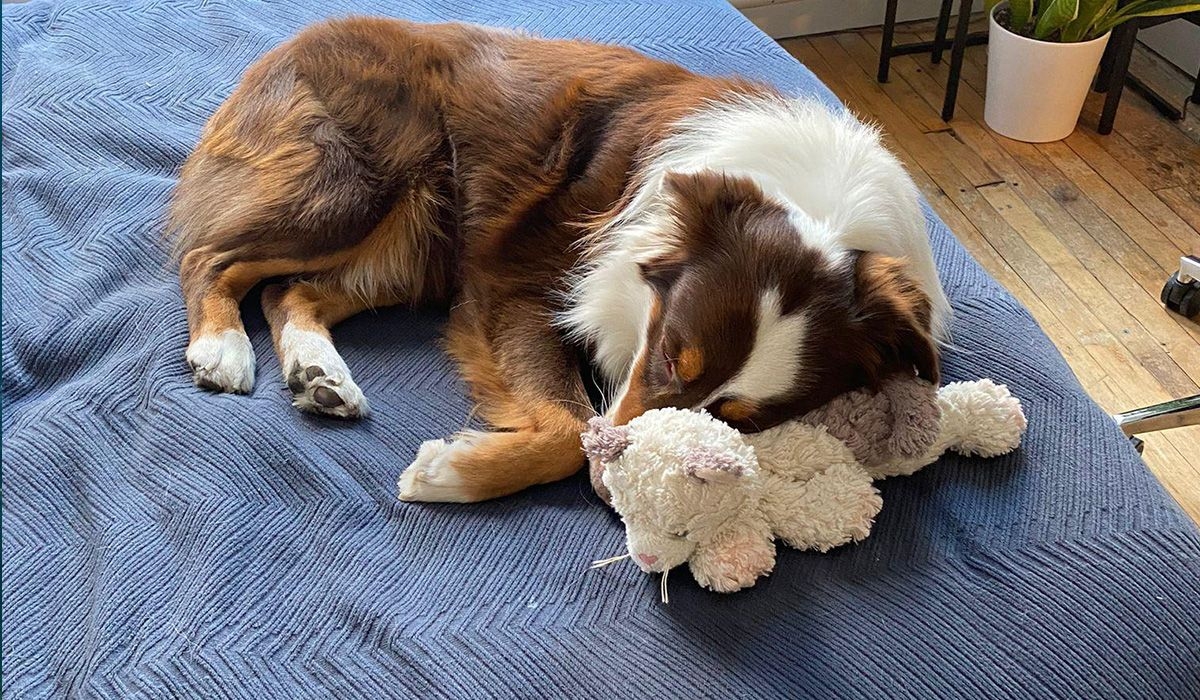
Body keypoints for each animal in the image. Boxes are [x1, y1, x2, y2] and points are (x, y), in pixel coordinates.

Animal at [171, 17, 945, 504]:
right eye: (671, 356)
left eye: (744, 420)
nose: (619, 490)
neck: (810, 200)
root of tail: (292, 43)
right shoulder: (516, 285)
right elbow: (572, 429)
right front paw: (447, 473)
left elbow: (577, 427)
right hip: (356, 189)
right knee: (211, 255)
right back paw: (221, 348)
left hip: (417, 247)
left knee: (288, 292)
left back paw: (319, 374)